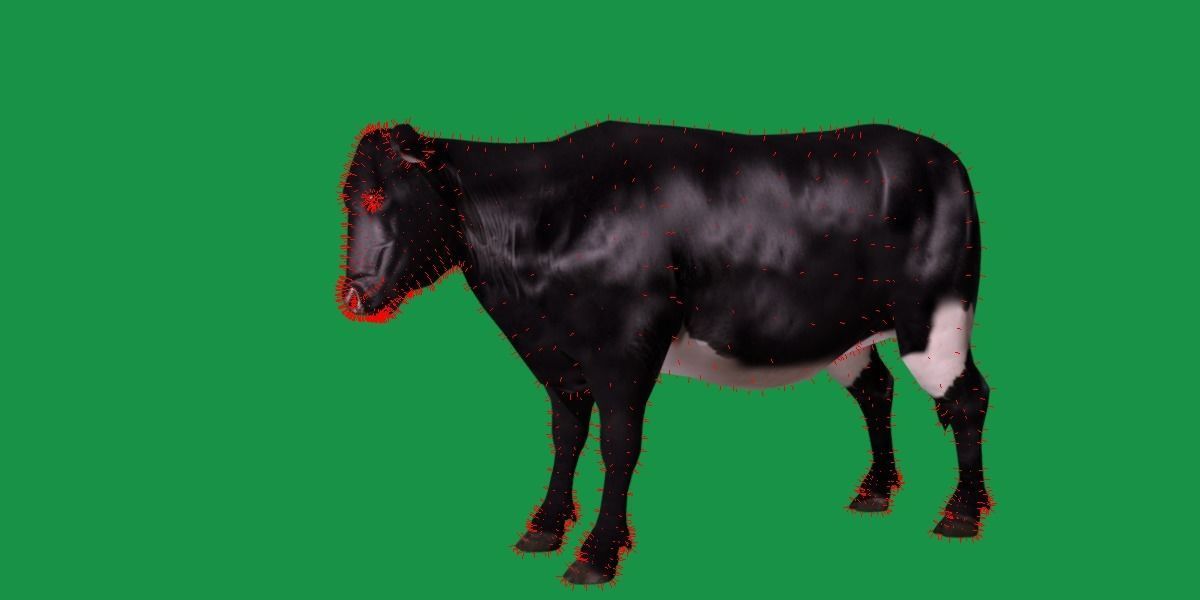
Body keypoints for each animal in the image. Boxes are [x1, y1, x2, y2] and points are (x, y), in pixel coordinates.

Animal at [335, 120, 991, 585]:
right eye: (349, 198)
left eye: (384, 199)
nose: (354, 297)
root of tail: (941, 156)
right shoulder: (556, 360)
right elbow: (565, 438)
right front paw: (543, 529)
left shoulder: (627, 348)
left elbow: (618, 447)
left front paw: (596, 556)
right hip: (846, 334)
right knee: (877, 391)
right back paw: (875, 491)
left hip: (935, 321)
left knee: (967, 400)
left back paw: (961, 513)